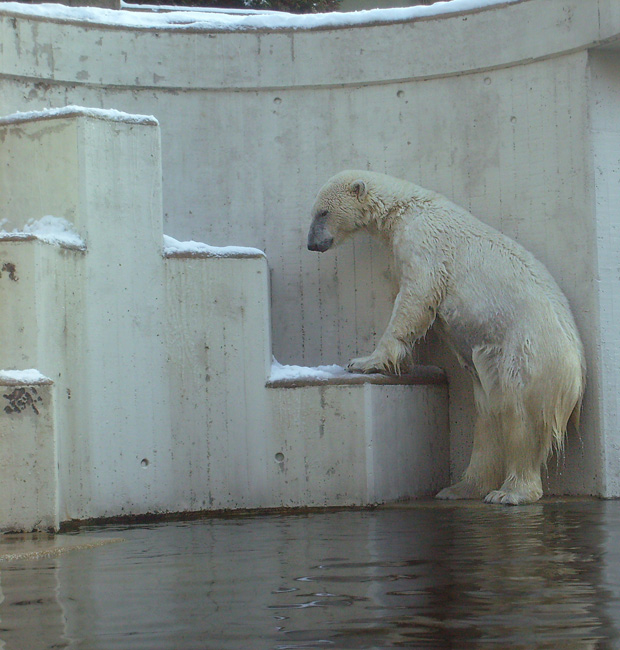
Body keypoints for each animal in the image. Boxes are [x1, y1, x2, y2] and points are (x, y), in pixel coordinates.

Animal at [306, 170, 588, 504]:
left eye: (323, 212)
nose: (311, 243)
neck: (403, 208)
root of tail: (577, 375)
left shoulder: (423, 242)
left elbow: (416, 298)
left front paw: (365, 361)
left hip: (528, 358)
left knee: (521, 418)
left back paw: (509, 492)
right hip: (495, 369)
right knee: (487, 417)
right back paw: (460, 488)